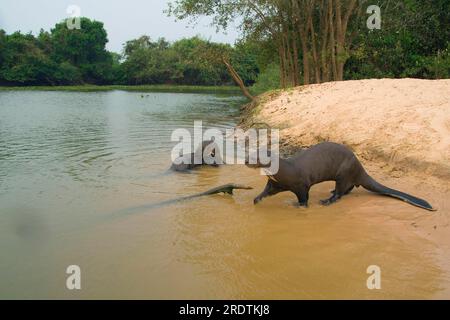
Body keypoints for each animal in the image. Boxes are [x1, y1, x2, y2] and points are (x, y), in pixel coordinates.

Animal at [248, 142, 438, 211]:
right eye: (249, 153)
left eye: (258, 158)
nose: (247, 160)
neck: (286, 170)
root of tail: (360, 167)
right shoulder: (275, 184)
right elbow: (266, 191)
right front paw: (256, 199)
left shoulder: (301, 184)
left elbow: (304, 197)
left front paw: (299, 206)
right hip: (346, 175)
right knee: (348, 188)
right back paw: (332, 193)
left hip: (343, 172)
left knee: (341, 192)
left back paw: (327, 200)